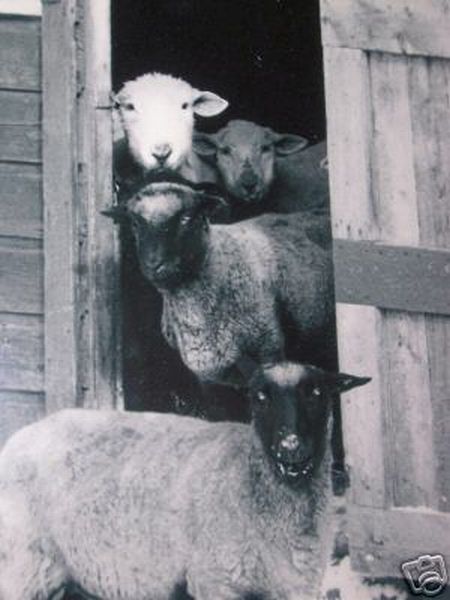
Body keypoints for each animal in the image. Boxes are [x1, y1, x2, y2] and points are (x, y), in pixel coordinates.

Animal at [0, 360, 370, 600]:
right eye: (259, 396)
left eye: (317, 392)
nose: (291, 447)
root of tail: (21, 436)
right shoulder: (216, 581)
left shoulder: (295, 586)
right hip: (22, 567)